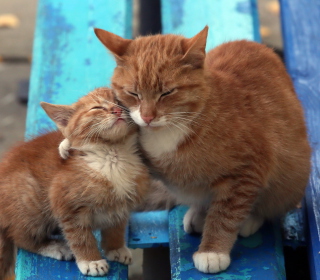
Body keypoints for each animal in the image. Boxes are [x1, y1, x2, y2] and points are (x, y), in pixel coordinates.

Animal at [0, 87, 149, 278]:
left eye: (119, 101)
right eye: (97, 108)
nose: (116, 110)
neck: (113, 154)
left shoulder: (122, 204)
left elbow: (116, 227)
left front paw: (115, 248)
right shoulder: (66, 203)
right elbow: (80, 236)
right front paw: (91, 260)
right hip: (30, 200)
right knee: (20, 236)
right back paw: (54, 246)